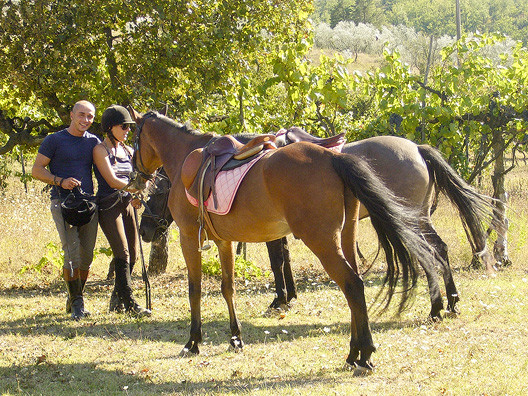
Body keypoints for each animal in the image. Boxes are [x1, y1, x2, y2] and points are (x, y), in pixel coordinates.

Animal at [129, 110, 438, 372]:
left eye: (134, 140)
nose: (135, 178)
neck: (185, 159)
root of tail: (333, 158)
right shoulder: (224, 242)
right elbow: (228, 288)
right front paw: (235, 337)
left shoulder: (189, 237)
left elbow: (196, 289)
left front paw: (193, 341)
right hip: (346, 237)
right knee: (358, 285)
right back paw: (355, 352)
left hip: (324, 241)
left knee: (353, 285)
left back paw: (364, 354)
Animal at [138, 135, 492, 320]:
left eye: (156, 195)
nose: (143, 232)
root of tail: (417, 149)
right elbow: (283, 260)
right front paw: (288, 297)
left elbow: (277, 261)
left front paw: (281, 299)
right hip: (416, 218)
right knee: (438, 250)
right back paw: (449, 302)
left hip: (411, 218)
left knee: (430, 253)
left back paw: (438, 305)